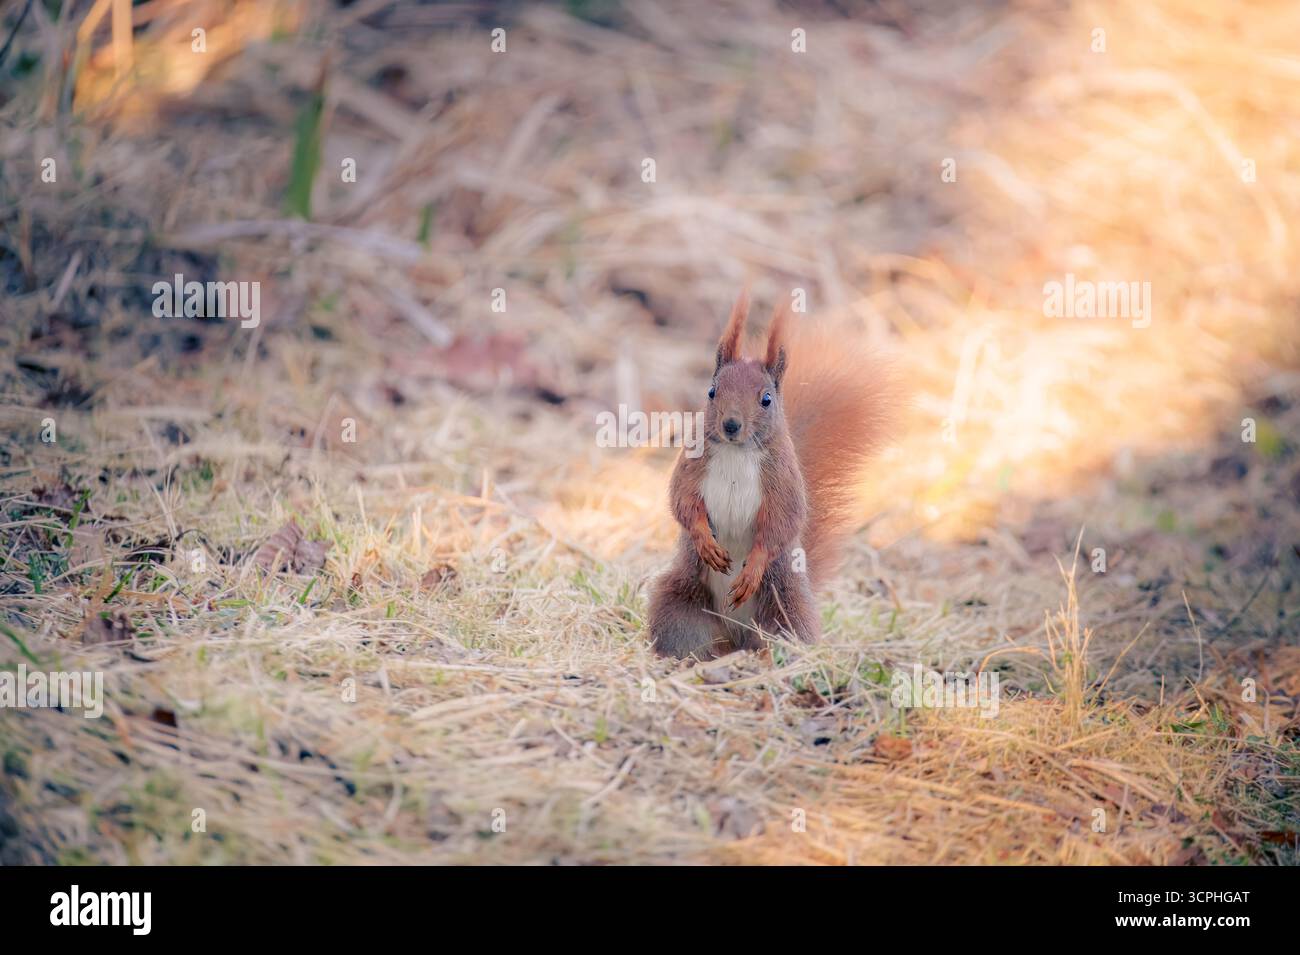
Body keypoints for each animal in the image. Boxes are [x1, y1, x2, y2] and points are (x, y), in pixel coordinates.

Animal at [649, 289, 896, 660]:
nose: (731, 424)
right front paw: (706, 542)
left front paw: (752, 569)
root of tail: (736, 637)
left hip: (785, 607)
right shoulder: (692, 466)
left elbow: (781, 523)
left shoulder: (782, 480)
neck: (736, 451)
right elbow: (684, 503)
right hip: (680, 602)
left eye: (766, 399)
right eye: (711, 391)